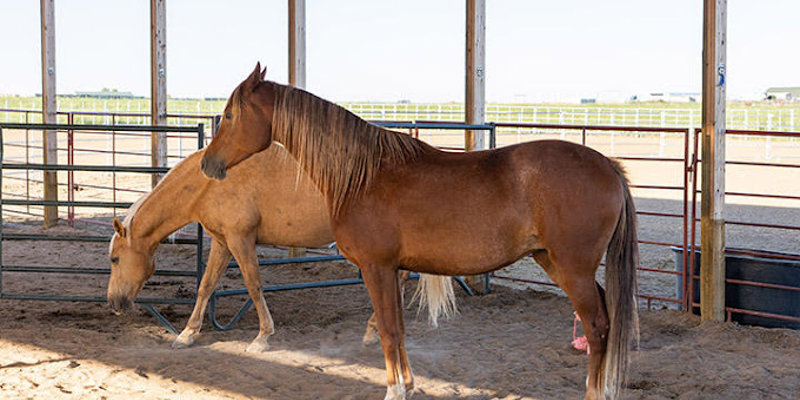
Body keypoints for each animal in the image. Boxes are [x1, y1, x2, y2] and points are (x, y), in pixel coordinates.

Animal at [108, 145, 424, 352]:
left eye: (114, 259)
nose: (114, 304)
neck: (208, 183)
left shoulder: (241, 240)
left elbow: (253, 284)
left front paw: (262, 337)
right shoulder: (223, 242)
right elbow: (206, 285)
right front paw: (187, 333)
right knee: (401, 277)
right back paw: (374, 330)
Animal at [203, 65, 640, 400]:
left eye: (229, 115)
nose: (208, 163)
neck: (363, 175)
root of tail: (609, 166)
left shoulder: (376, 268)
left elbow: (388, 330)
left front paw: (394, 389)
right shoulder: (394, 270)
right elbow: (396, 329)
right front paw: (408, 385)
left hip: (573, 269)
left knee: (597, 327)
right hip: (555, 263)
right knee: (605, 321)